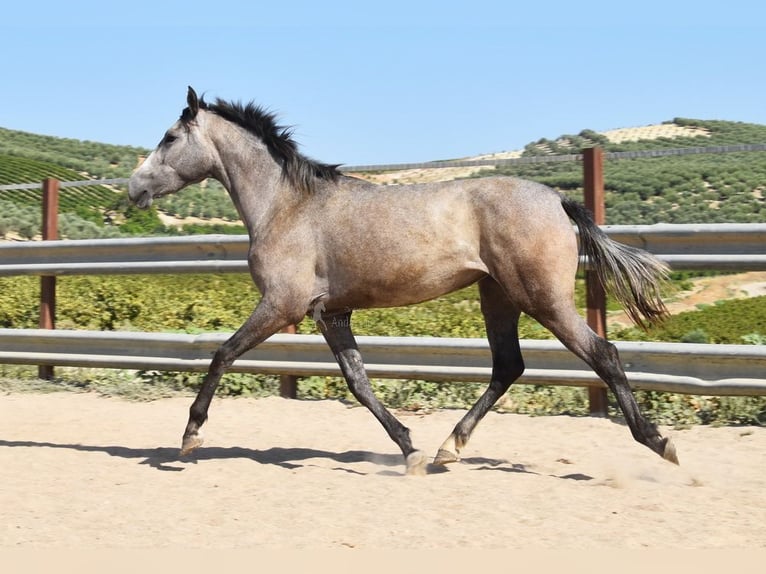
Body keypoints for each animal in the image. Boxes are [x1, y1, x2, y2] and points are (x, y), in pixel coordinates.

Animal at [129, 84, 680, 472]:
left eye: (169, 138)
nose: (135, 187)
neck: (286, 205)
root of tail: (557, 200)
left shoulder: (282, 304)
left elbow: (222, 354)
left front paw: (190, 436)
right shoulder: (331, 313)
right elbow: (358, 382)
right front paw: (408, 448)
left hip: (542, 298)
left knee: (603, 355)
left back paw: (659, 442)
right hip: (498, 297)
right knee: (508, 366)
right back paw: (447, 448)